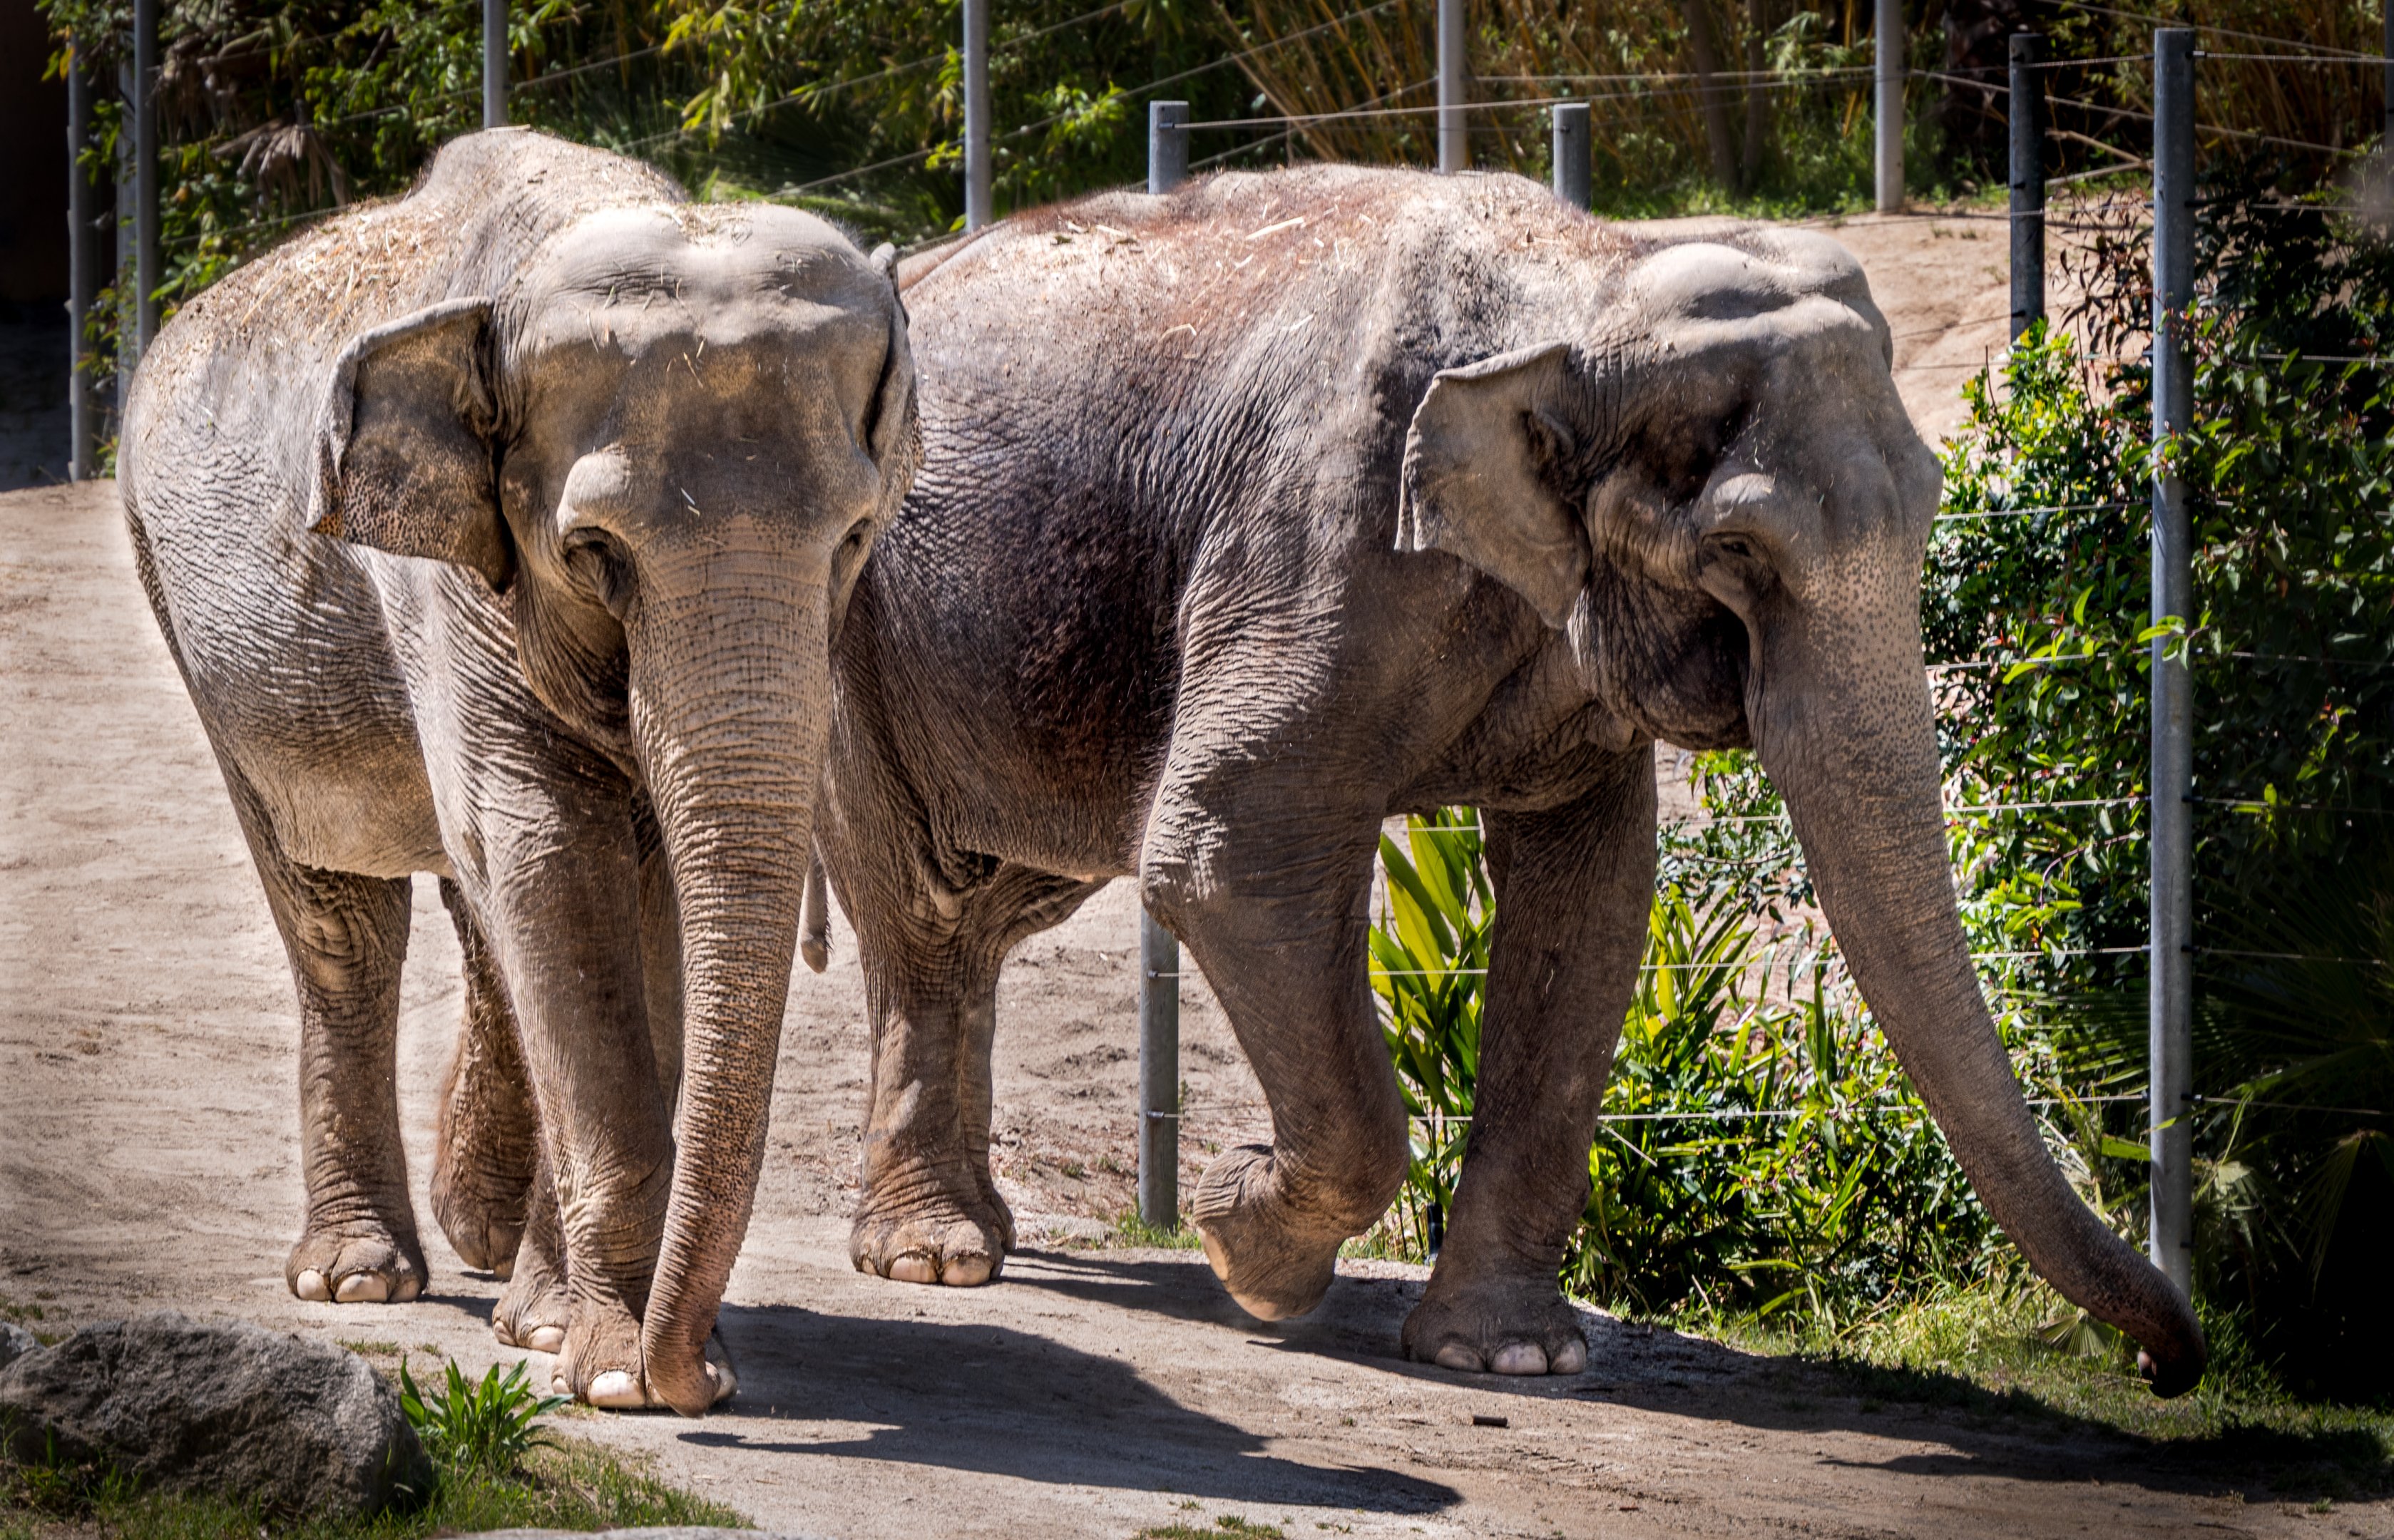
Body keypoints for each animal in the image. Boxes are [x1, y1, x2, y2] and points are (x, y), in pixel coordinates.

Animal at [119, 127, 917, 1414]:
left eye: (853, 537)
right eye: (592, 553)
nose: (692, 1382)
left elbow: (641, 889)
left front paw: (581, 1340)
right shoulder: (451, 579)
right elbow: (550, 856)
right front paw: (610, 1371)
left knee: (475, 908)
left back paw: (486, 1247)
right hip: (198, 629)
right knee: (343, 922)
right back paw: (359, 1279)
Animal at [781, 164, 2205, 1391]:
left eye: (1927, 506)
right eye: (1738, 549)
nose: (2162, 1367)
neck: (1587, 278)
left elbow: (1591, 899)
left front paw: (1510, 1356)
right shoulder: (1317, 534)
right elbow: (1229, 855)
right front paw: (1243, 1245)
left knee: (993, 900)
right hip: (849, 630)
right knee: (926, 908)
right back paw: (937, 1259)